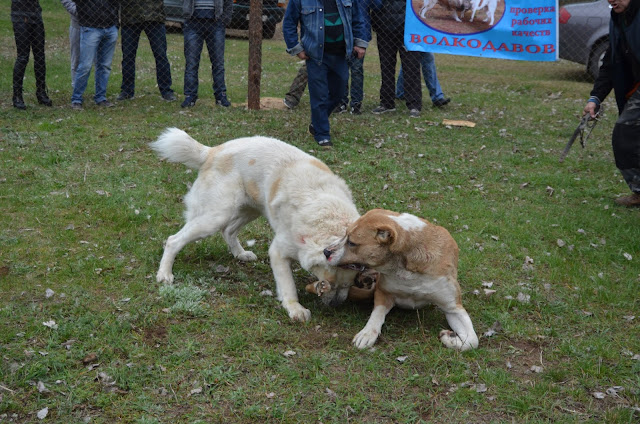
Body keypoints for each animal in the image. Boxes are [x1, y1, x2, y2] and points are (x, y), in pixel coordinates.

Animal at [150, 128, 360, 322]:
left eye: (350, 285)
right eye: (329, 283)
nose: (336, 305)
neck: (327, 215)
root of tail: (212, 151)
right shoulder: (278, 252)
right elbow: (288, 286)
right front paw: (295, 308)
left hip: (249, 210)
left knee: (228, 231)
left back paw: (240, 254)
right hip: (215, 217)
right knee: (173, 240)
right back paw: (164, 273)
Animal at [322, 208, 479, 351]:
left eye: (352, 243)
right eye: (344, 234)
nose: (326, 251)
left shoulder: (453, 307)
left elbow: (472, 340)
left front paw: (449, 338)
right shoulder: (383, 293)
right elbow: (376, 315)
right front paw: (367, 333)